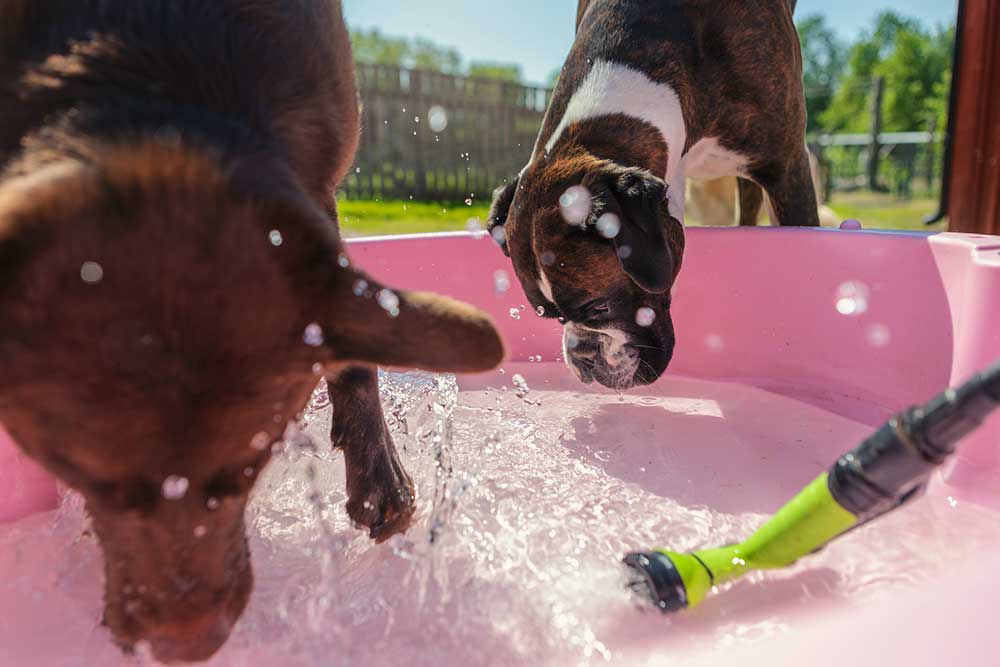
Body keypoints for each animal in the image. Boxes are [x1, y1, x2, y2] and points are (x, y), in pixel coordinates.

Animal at [0, 0, 500, 664]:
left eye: (253, 464)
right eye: (79, 476)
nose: (187, 645)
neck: (153, 85)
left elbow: (353, 352)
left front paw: (380, 477)